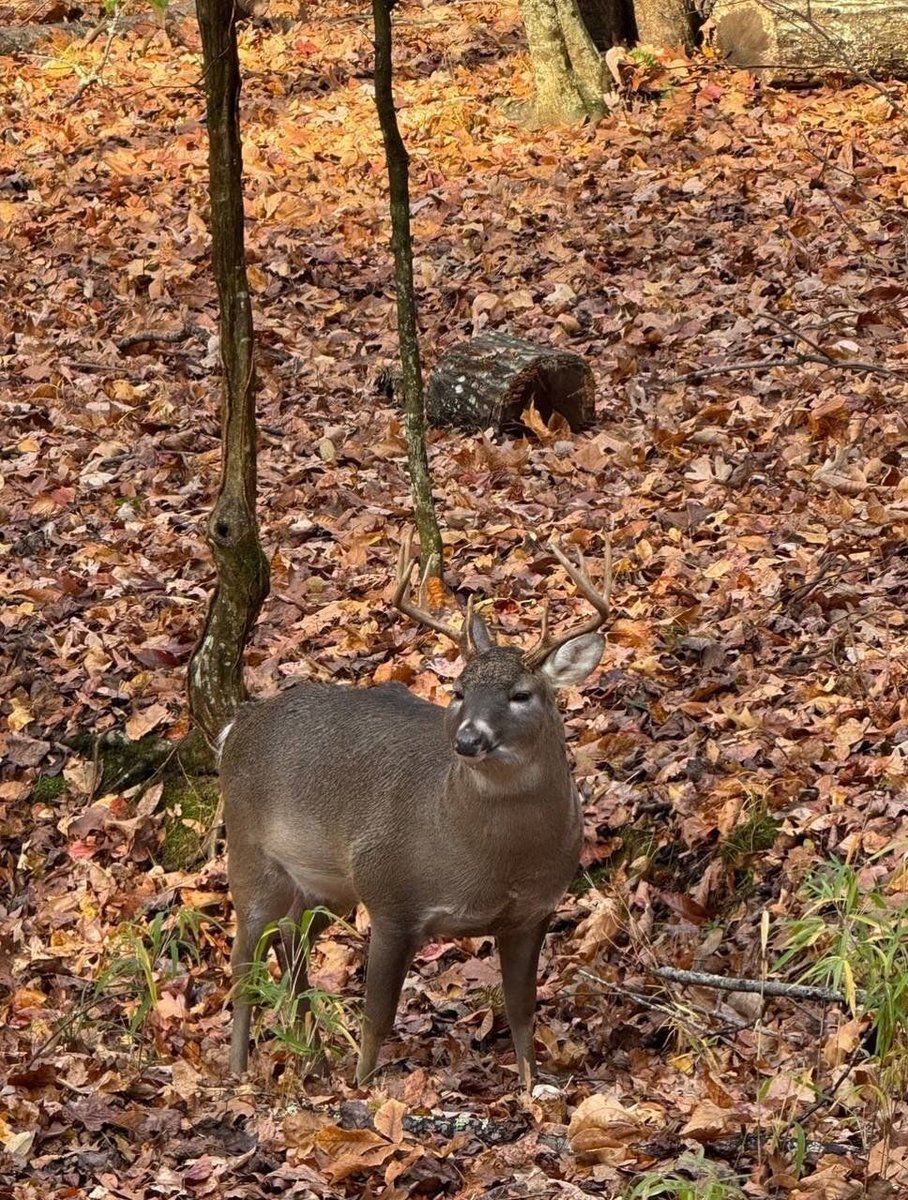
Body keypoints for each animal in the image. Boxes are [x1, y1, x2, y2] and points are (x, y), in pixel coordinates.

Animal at [219, 536, 611, 1090]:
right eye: (458, 691)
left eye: (521, 695)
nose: (468, 739)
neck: (490, 861)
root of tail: (237, 724)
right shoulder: (390, 896)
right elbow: (376, 1017)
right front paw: (360, 1088)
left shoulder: (532, 913)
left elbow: (522, 1012)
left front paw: (530, 1089)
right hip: (249, 850)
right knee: (242, 960)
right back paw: (237, 1071)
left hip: (326, 883)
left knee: (291, 941)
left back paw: (314, 1060)